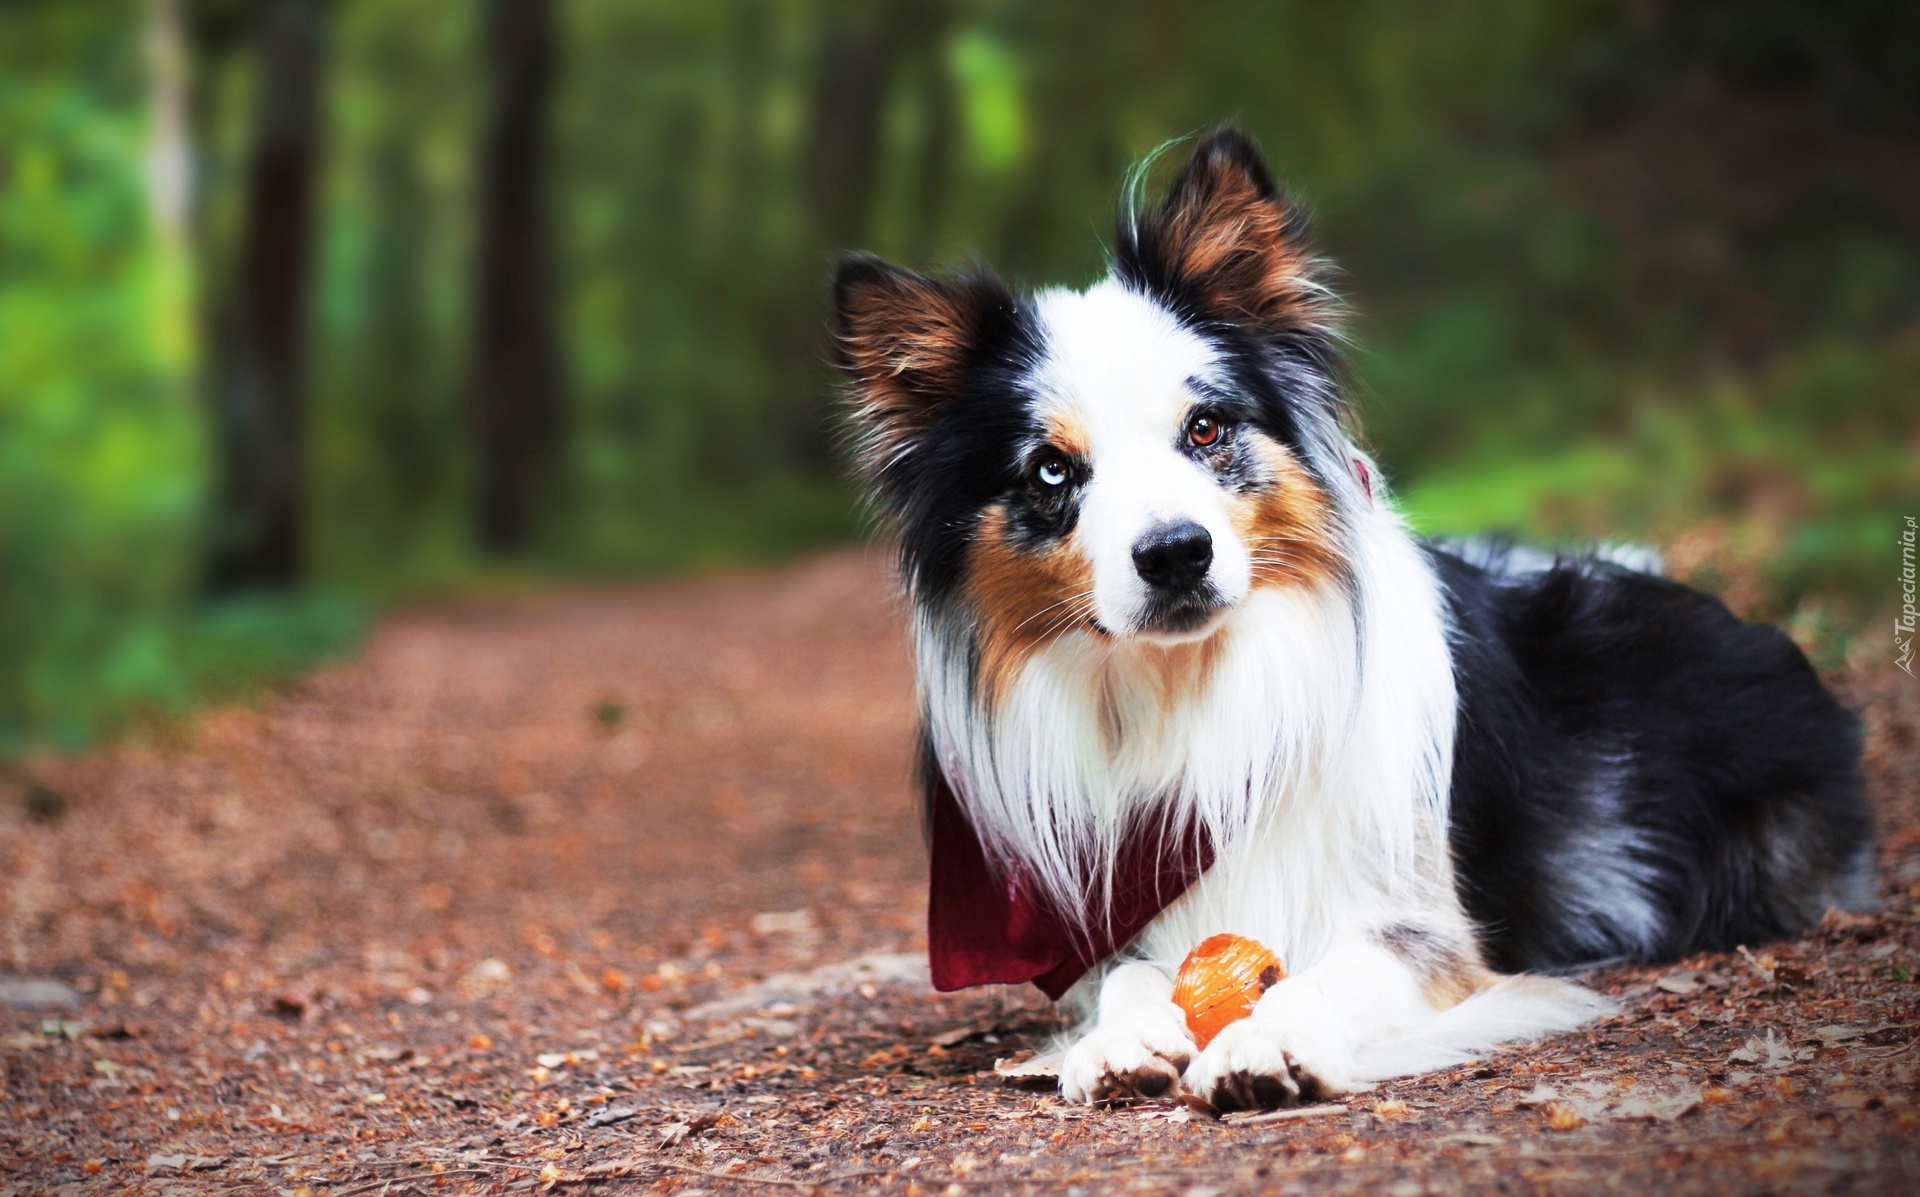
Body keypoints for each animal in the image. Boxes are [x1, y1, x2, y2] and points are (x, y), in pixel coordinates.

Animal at [829, 126, 1873, 1106]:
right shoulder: (1114, 923)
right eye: (1051, 471)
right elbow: (1129, 978)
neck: (1196, 686)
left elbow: (1323, 976)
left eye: (1205, 427)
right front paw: (1118, 1040)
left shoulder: (1421, 924)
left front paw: (1268, 1041)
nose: (1176, 552)